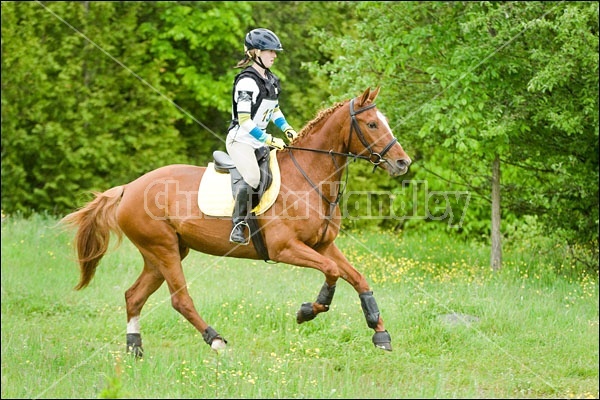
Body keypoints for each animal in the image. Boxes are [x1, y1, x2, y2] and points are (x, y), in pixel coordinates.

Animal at [61, 86, 410, 356]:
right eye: (372, 124)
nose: (403, 163)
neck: (310, 178)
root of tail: (129, 188)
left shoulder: (323, 244)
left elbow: (357, 278)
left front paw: (379, 332)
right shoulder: (286, 248)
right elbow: (333, 272)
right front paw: (307, 311)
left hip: (161, 253)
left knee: (134, 296)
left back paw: (134, 347)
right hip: (163, 249)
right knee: (180, 299)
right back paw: (215, 340)